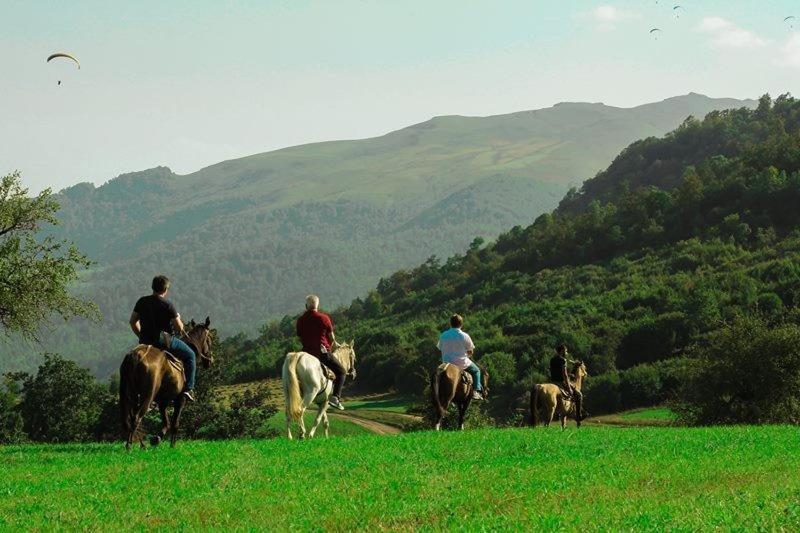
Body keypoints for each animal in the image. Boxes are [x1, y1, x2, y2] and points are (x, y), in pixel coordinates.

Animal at [118, 316, 212, 448]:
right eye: (210, 340)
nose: (210, 361)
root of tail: (136, 356)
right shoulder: (180, 399)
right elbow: (175, 423)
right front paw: (172, 445)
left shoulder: (163, 401)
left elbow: (165, 422)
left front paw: (156, 439)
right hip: (148, 395)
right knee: (136, 418)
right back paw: (131, 446)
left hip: (132, 394)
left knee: (131, 417)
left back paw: (139, 444)